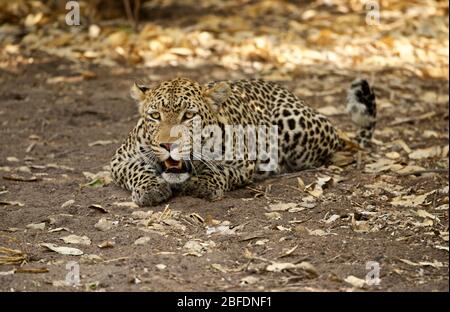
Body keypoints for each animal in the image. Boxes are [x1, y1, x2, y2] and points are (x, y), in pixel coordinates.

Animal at [110, 77, 376, 206]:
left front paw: (201, 184)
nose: (168, 145)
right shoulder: (119, 160)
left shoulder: (242, 163)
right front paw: (151, 189)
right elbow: (138, 169)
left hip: (296, 125)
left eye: (188, 115)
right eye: (155, 116)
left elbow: (218, 171)